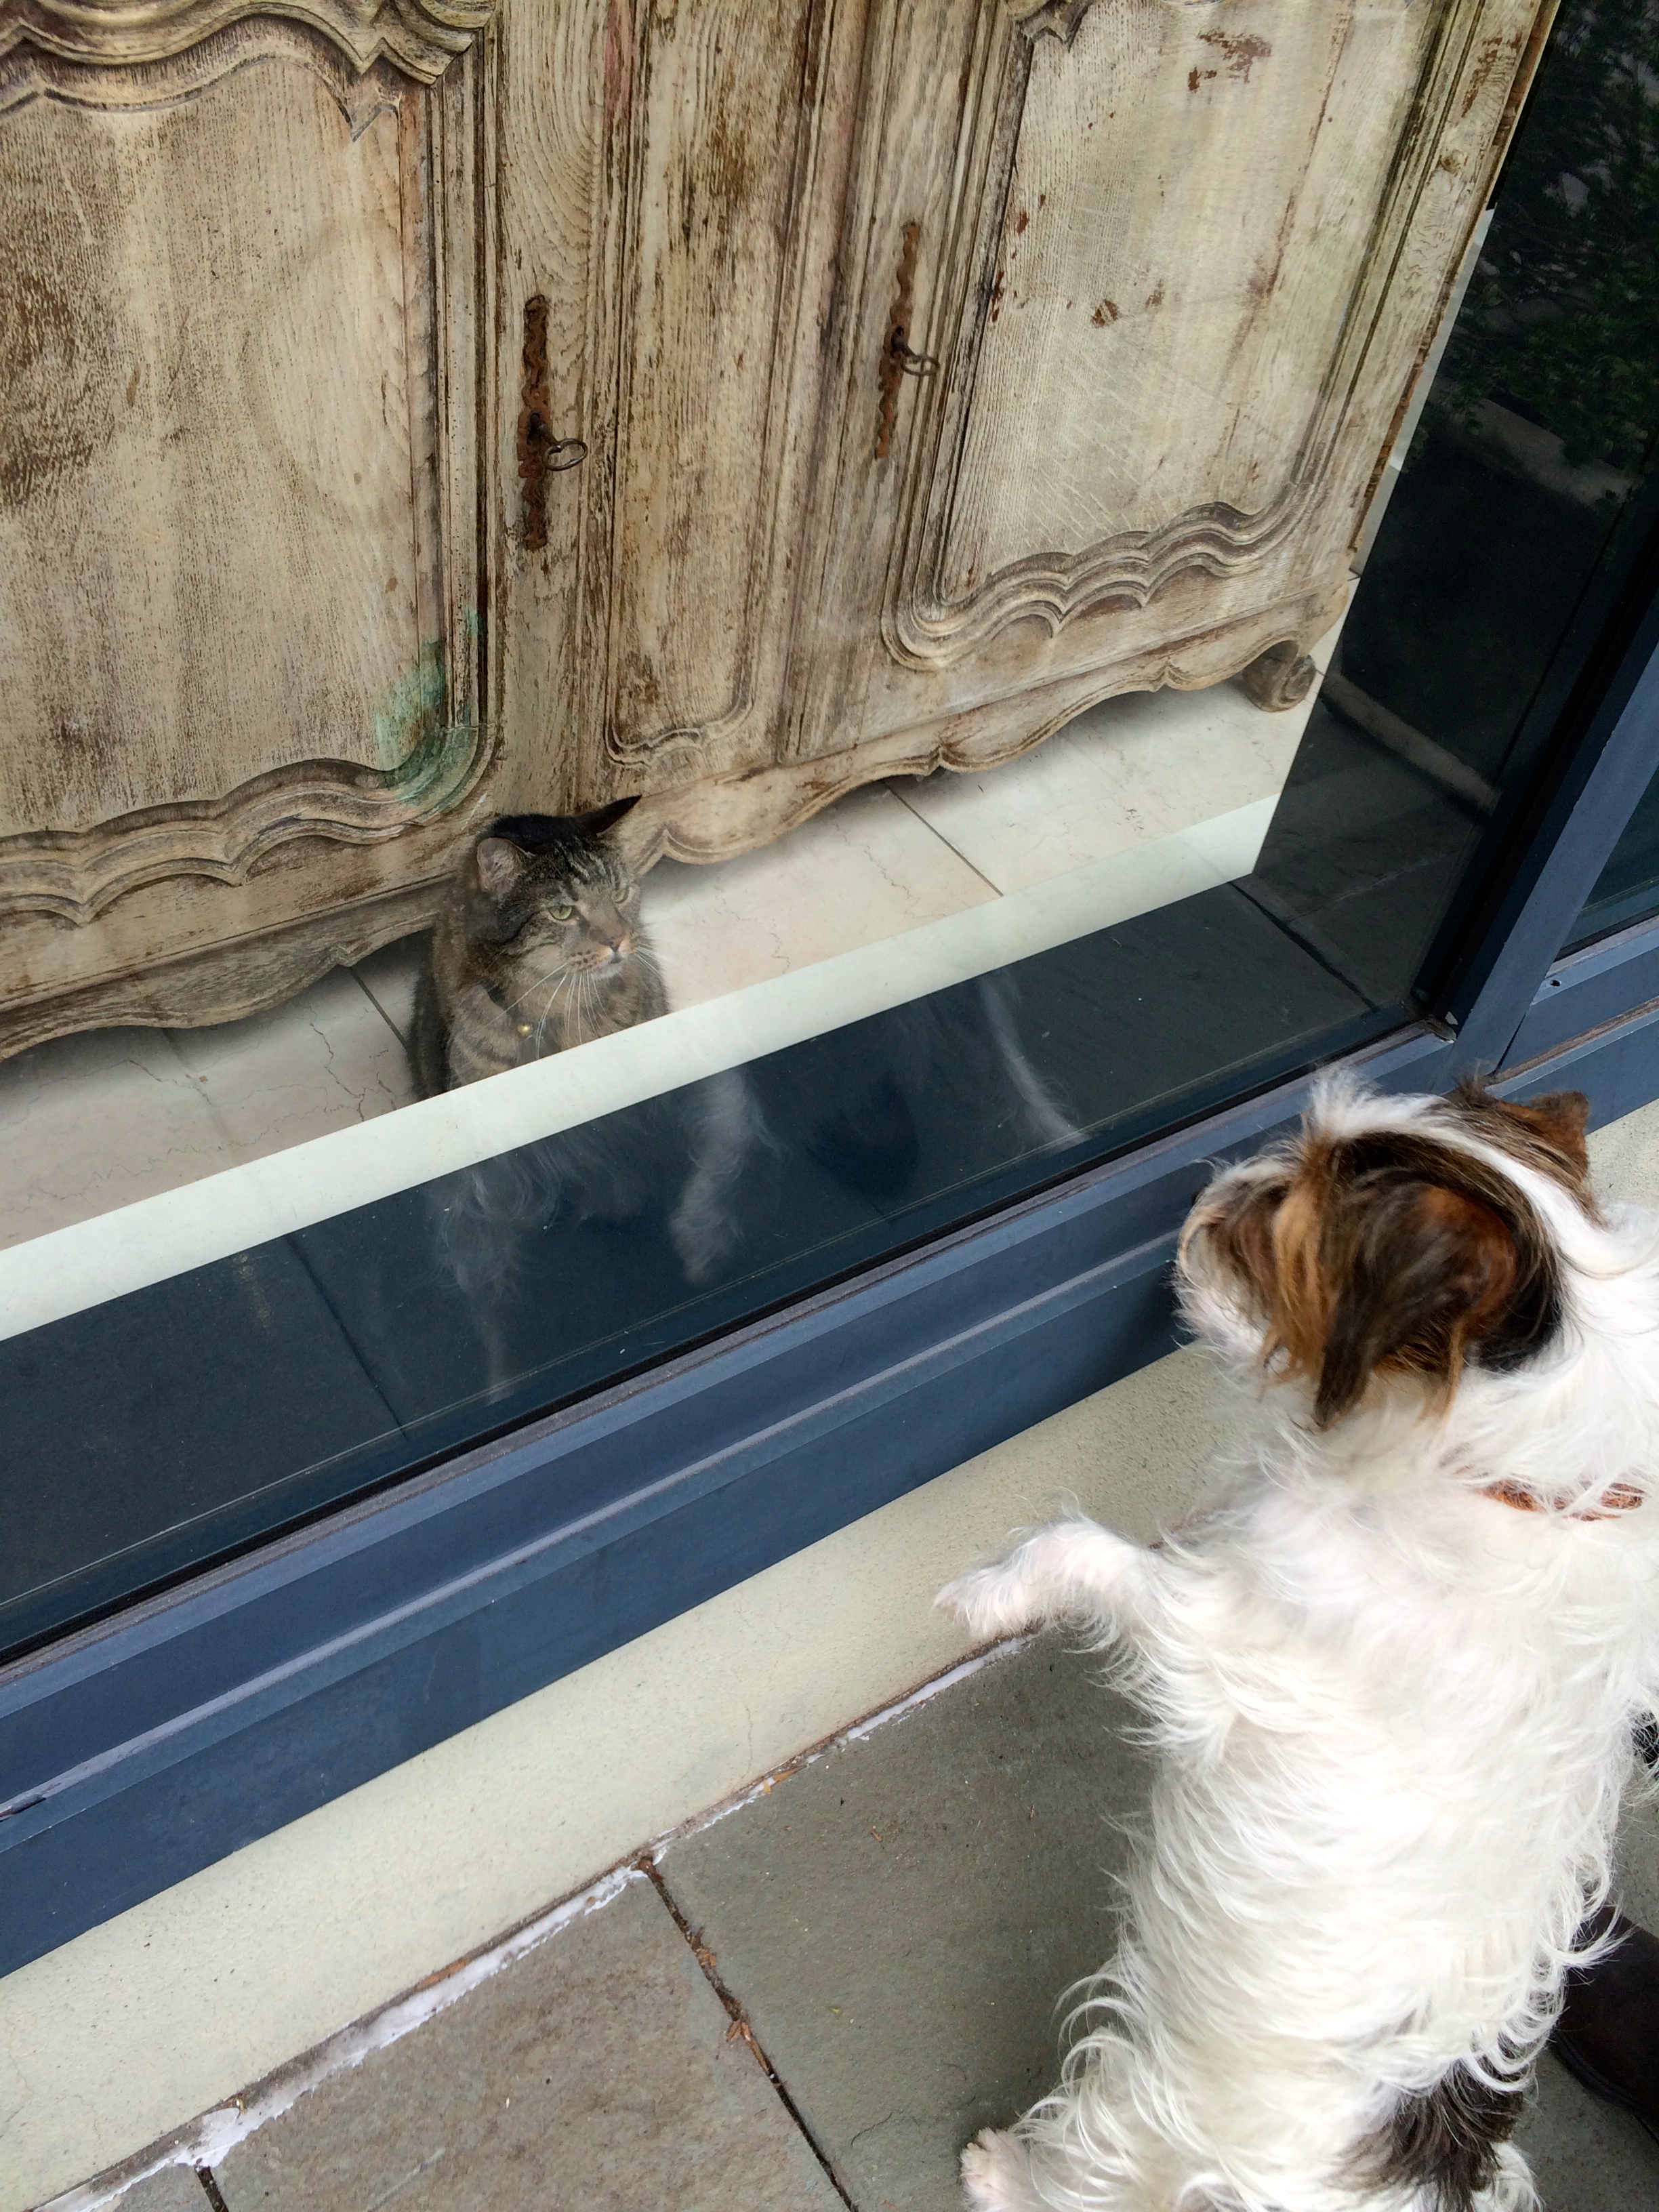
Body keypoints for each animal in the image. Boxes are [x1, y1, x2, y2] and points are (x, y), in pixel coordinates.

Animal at [938, 1076, 1659, 2212]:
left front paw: (990, 1593)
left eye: (1274, 1227)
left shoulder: (1221, 1640)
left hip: (1140, 2114)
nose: (1209, 1188)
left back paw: (1003, 2170)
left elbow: (1078, 1549)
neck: (1499, 1477)